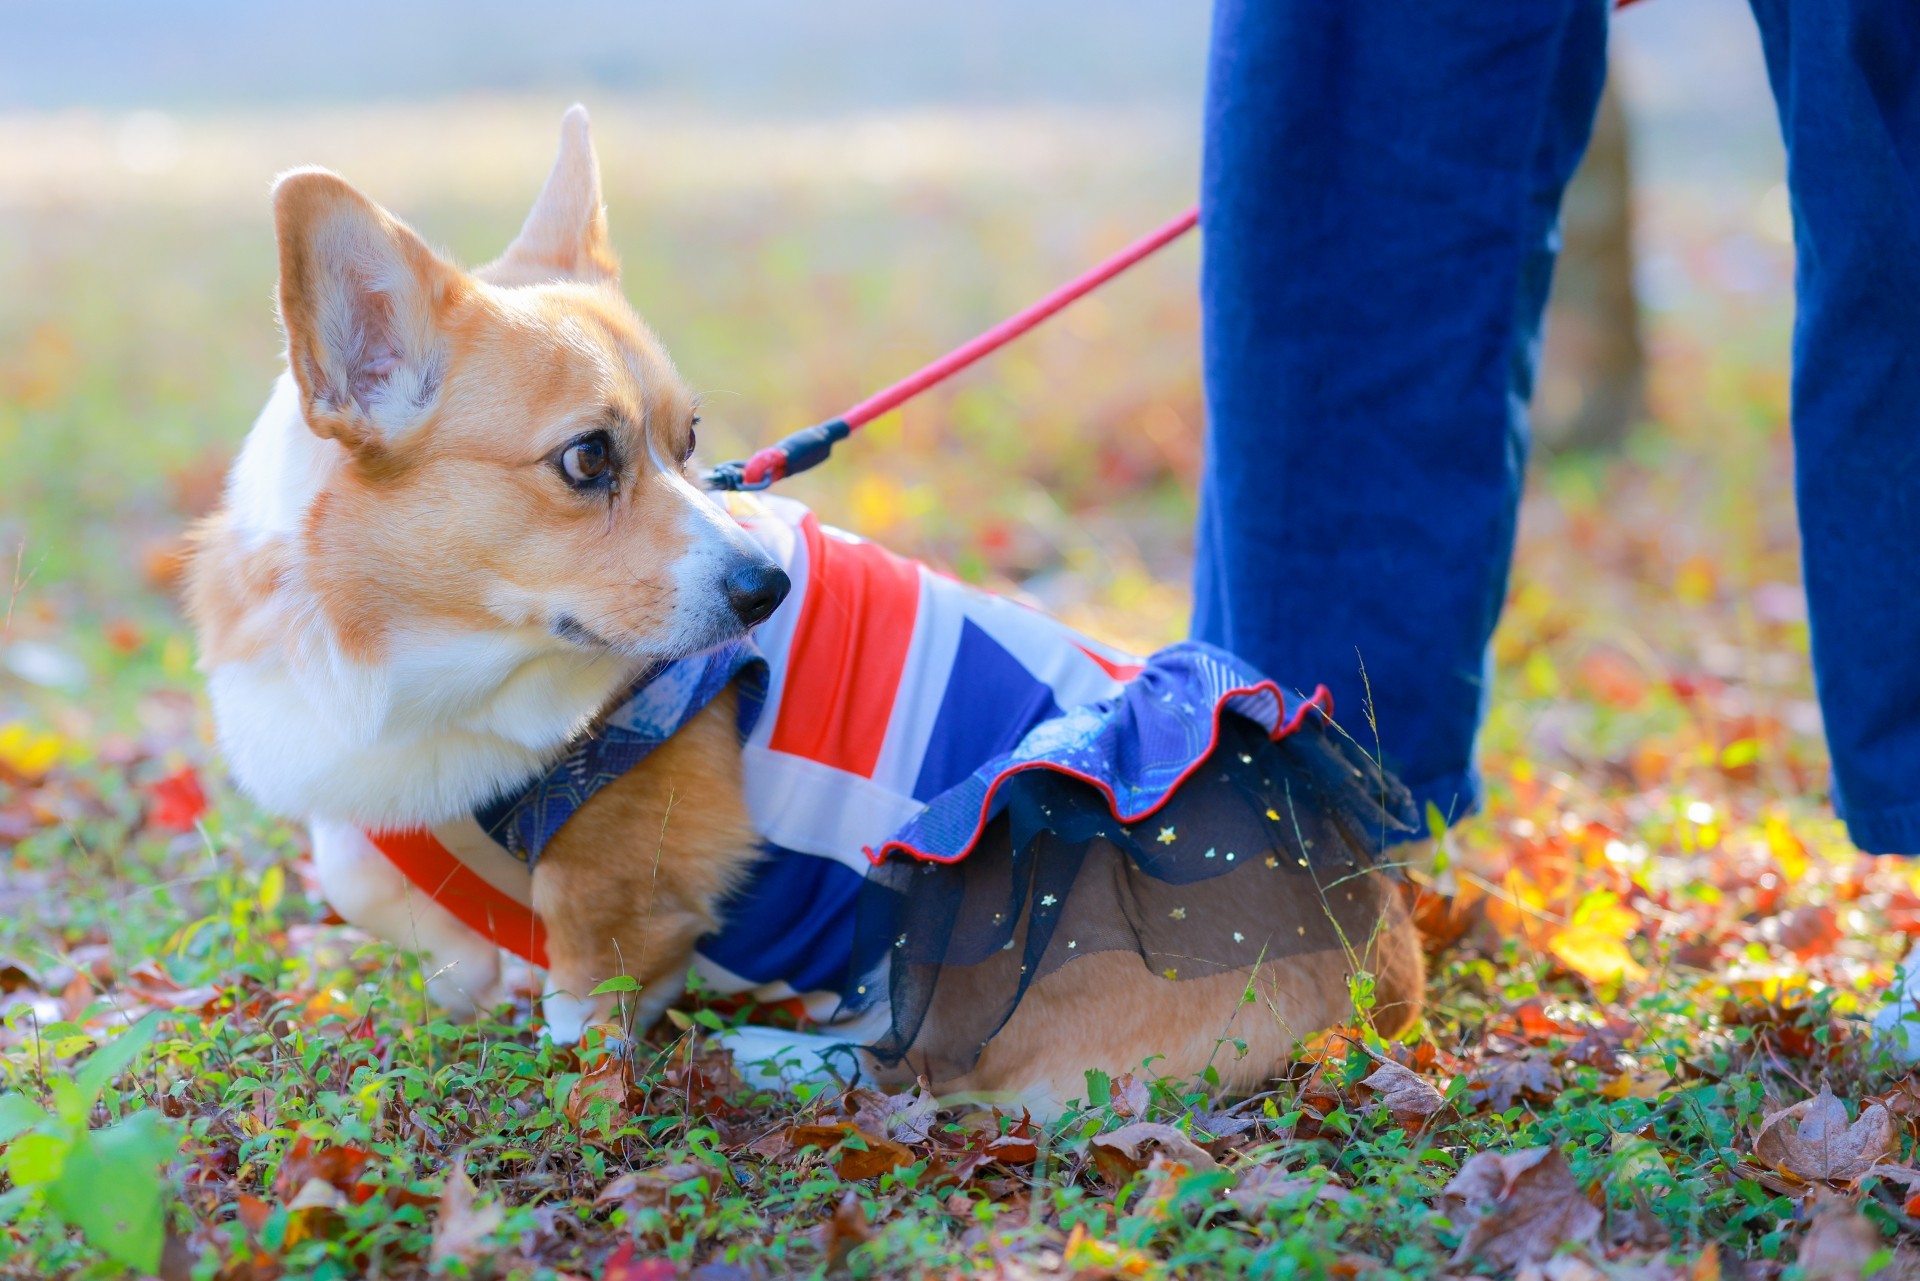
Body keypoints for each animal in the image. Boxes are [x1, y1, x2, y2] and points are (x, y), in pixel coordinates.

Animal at [191, 107, 1428, 1113]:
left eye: (688, 440)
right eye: (589, 459)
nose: (766, 589)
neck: (425, 656)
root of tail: (1381, 958)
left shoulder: (622, 890)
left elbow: (583, 1012)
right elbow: (370, 882)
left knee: (929, 1067)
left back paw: (773, 1054)